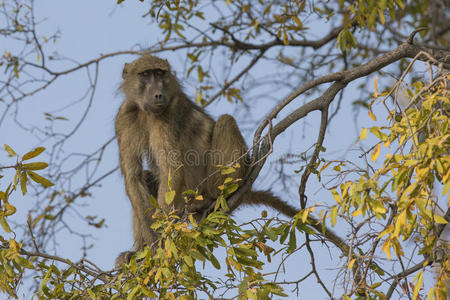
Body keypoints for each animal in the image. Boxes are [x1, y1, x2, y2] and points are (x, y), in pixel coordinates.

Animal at [114, 54, 310, 264]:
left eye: (160, 73)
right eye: (145, 75)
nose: (158, 95)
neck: (146, 112)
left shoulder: (167, 115)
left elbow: (172, 169)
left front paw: (162, 241)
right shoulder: (124, 116)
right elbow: (134, 177)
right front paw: (148, 247)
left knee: (226, 121)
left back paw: (212, 199)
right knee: (145, 178)